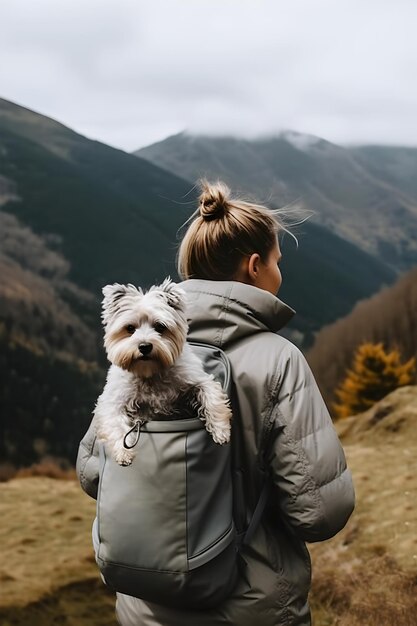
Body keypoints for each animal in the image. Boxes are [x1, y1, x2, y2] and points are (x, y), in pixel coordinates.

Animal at [93, 276, 232, 464]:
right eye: (129, 328)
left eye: (160, 327)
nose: (144, 346)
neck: (150, 373)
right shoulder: (112, 400)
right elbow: (115, 423)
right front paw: (124, 453)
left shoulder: (197, 379)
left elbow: (212, 396)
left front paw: (221, 430)